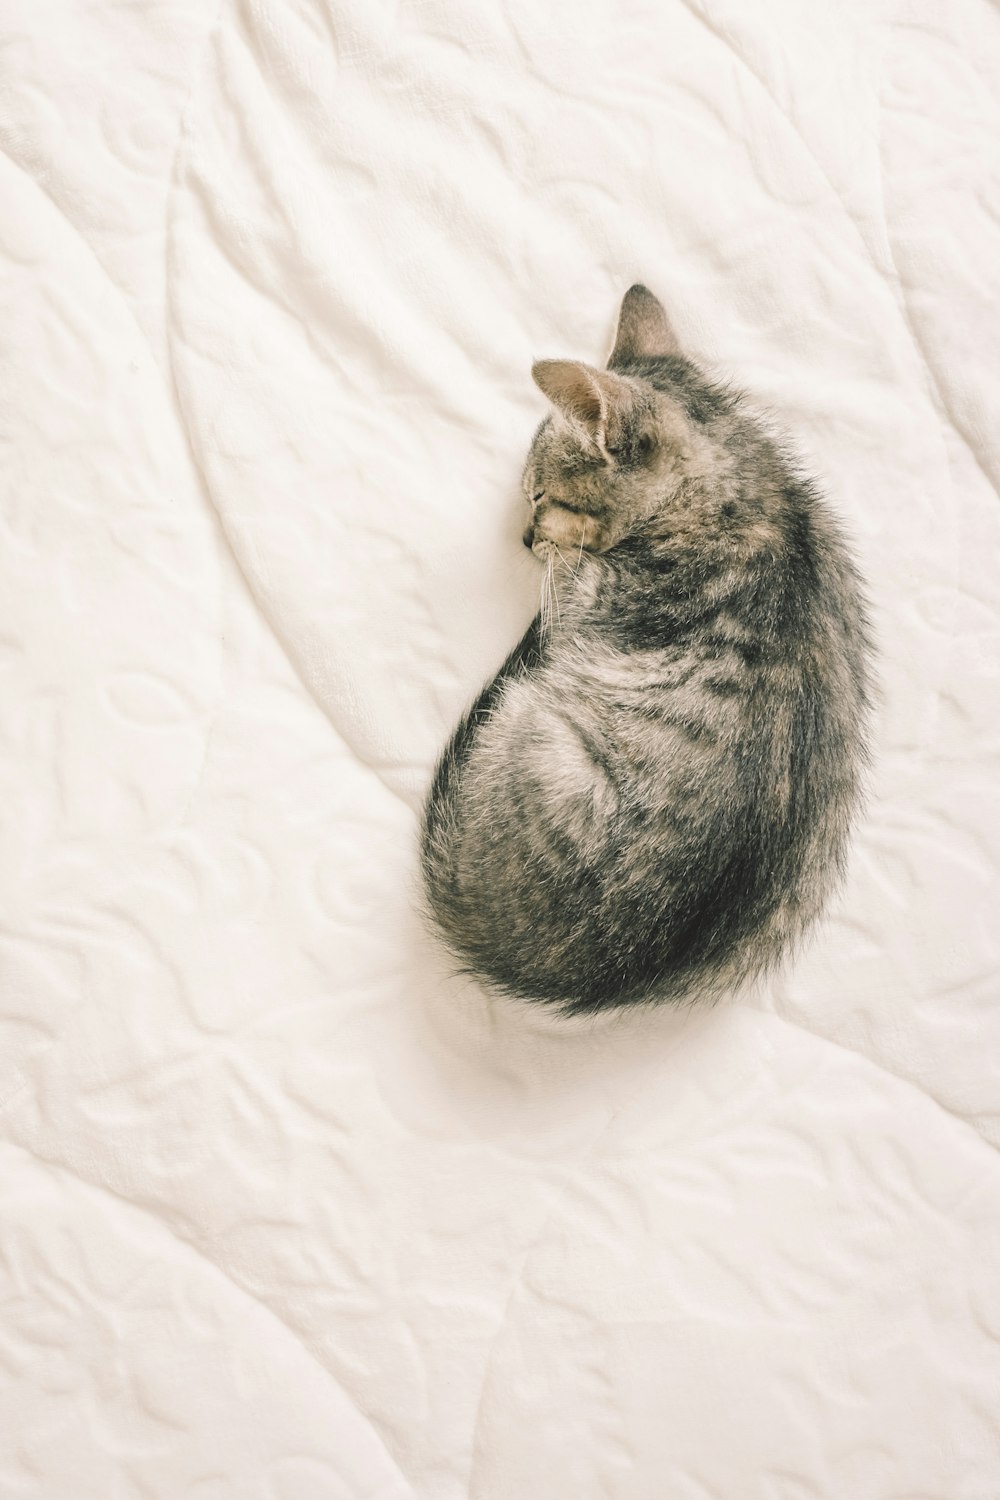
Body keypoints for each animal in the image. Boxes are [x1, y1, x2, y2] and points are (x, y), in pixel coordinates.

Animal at [419, 286, 869, 1014]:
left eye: (539, 495)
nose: (524, 539)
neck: (740, 494)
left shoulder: (592, 599)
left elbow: (570, 586)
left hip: (529, 725)